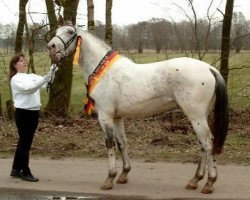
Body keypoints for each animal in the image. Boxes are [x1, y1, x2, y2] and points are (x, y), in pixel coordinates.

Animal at [47, 23, 229, 194]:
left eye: (70, 32)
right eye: (56, 31)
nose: (51, 47)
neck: (103, 71)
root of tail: (209, 68)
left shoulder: (105, 116)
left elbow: (109, 144)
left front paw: (109, 178)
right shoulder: (117, 117)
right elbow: (122, 143)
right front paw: (123, 174)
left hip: (196, 116)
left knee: (207, 143)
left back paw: (209, 183)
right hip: (199, 116)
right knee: (202, 144)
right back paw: (195, 180)